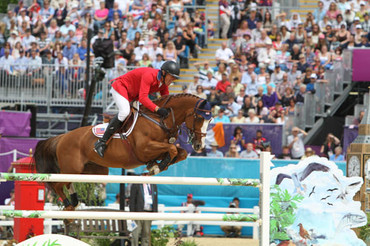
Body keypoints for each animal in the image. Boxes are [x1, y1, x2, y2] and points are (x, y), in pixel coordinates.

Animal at [34, 93, 214, 209]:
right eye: (199, 118)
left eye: (210, 120)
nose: (199, 146)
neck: (161, 120)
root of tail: (62, 137)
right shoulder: (144, 148)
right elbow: (172, 149)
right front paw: (157, 166)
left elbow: (179, 152)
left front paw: (156, 166)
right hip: (72, 169)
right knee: (57, 184)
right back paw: (68, 204)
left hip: (90, 171)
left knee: (67, 183)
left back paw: (74, 201)